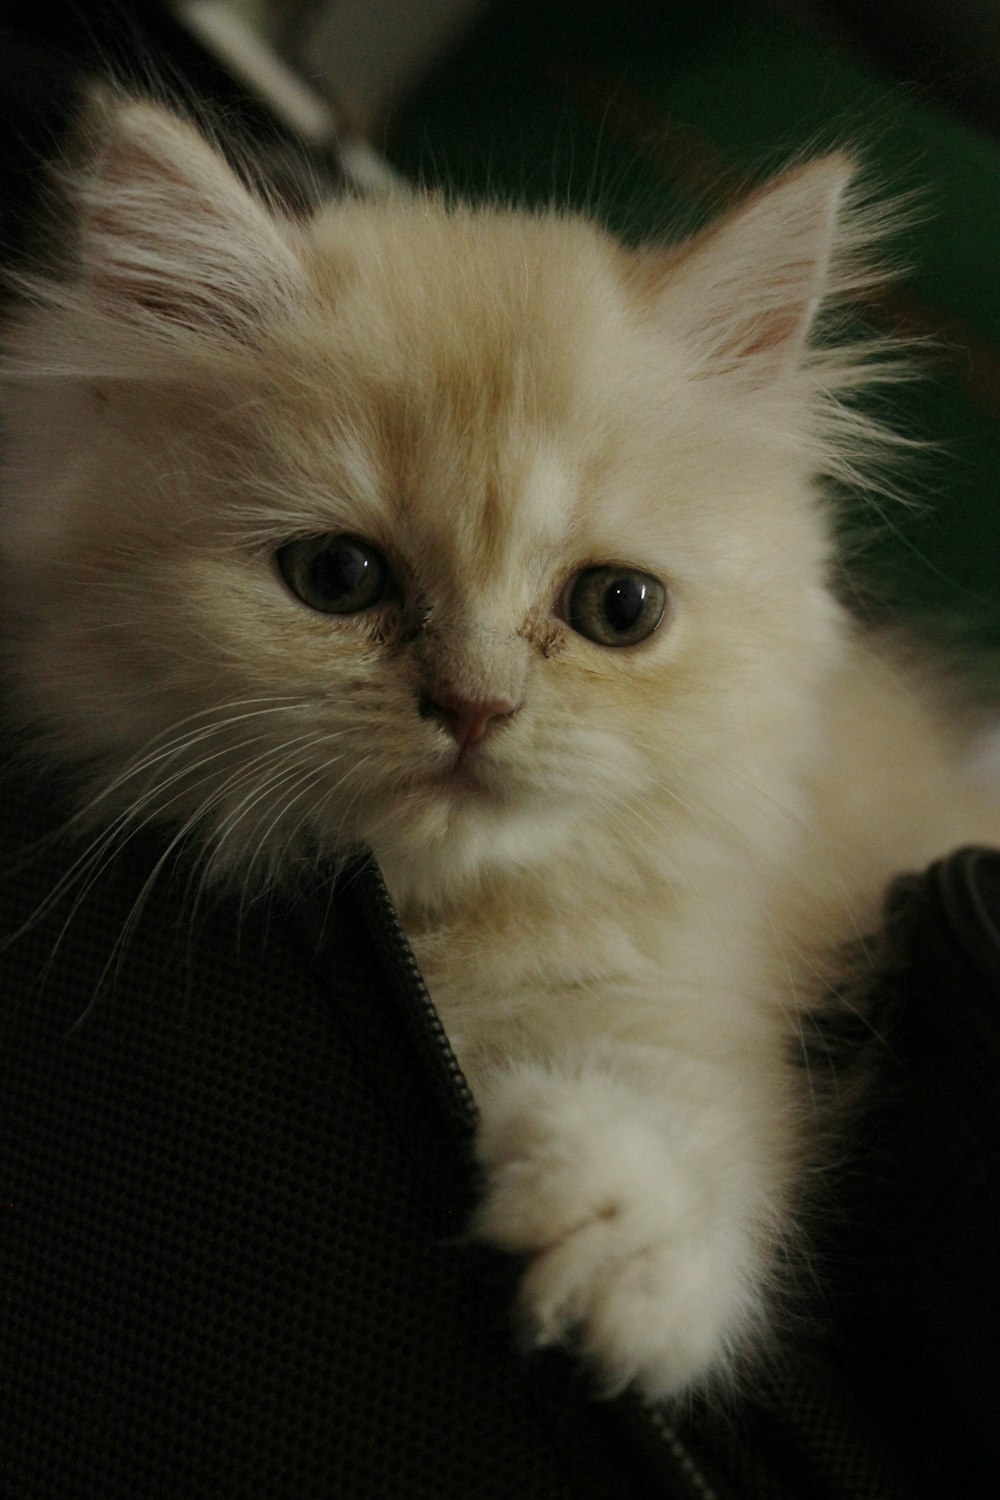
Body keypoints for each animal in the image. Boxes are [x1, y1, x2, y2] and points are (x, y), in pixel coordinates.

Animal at [3, 99, 995, 1398]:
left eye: (618, 609)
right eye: (337, 577)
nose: (473, 707)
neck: (438, 932)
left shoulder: (706, 976)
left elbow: (692, 1101)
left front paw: (618, 1234)